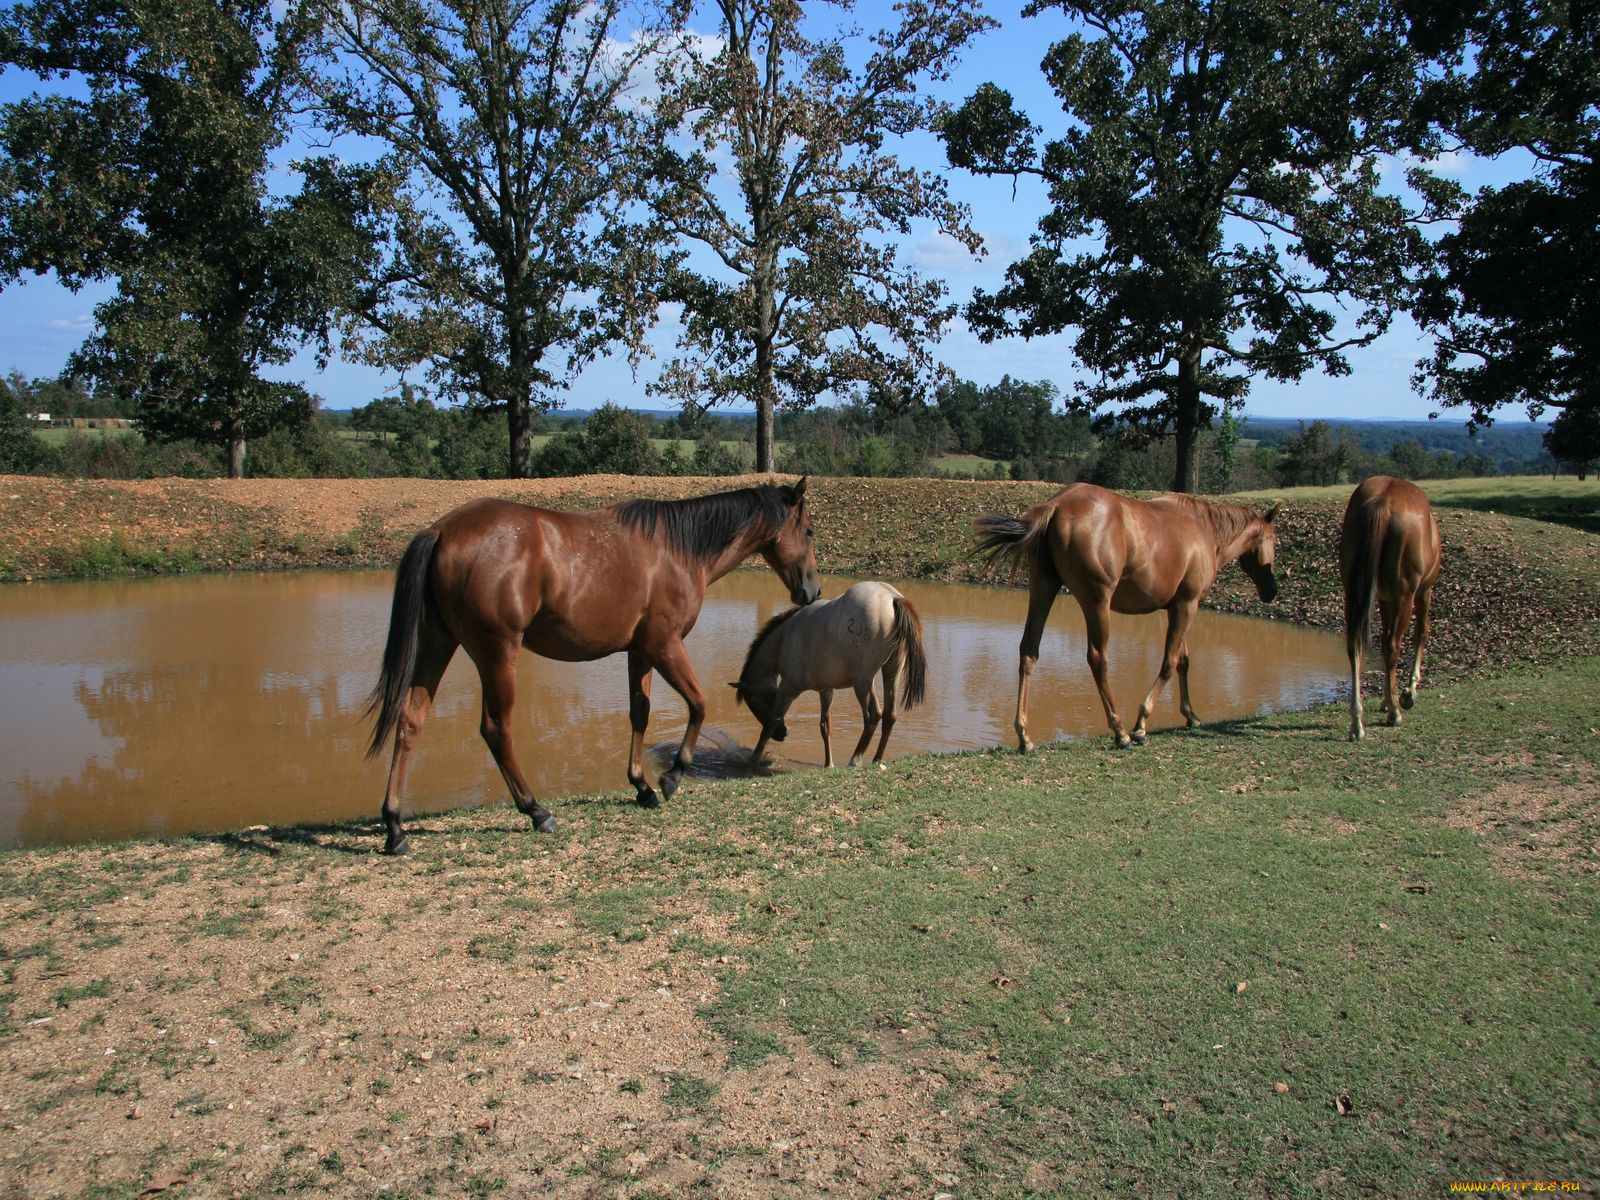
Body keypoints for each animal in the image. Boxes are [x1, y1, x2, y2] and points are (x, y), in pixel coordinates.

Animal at [366, 480, 819, 857]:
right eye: (811, 531)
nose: (813, 591)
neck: (677, 551)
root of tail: (441, 530)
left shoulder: (640, 652)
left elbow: (640, 713)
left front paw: (642, 786)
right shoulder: (665, 646)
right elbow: (698, 704)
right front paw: (672, 777)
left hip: (438, 645)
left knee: (410, 721)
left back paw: (395, 827)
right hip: (497, 653)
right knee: (496, 729)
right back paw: (536, 810)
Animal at [966, 483, 1280, 752]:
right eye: (1273, 540)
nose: (1272, 590)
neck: (1204, 529)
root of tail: (1056, 506)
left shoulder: (1178, 607)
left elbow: (1183, 662)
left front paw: (1190, 715)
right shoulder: (1187, 606)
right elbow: (1169, 663)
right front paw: (1141, 724)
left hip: (1044, 588)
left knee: (1029, 650)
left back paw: (1025, 737)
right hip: (1097, 603)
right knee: (1098, 659)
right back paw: (1120, 732)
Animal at [1337, 473, 1440, 742]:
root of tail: (1383, 501)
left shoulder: (1383, 598)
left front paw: (1387, 697)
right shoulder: (1423, 592)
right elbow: (1422, 632)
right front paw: (1408, 692)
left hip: (1354, 594)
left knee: (1355, 647)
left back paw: (1357, 722)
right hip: (1405, 596)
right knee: (1392, 645)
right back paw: (1395, 712)